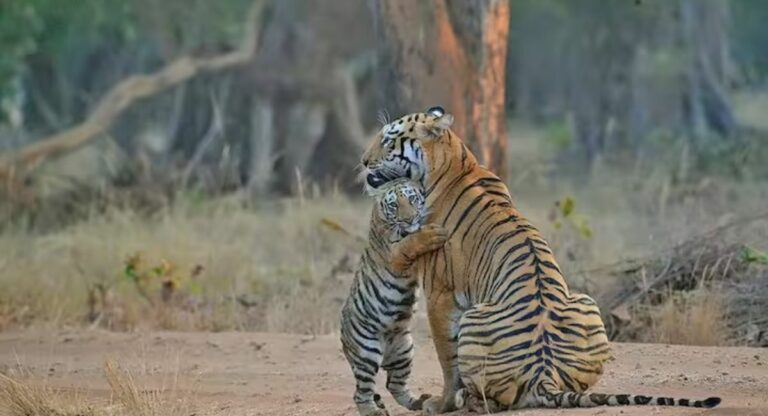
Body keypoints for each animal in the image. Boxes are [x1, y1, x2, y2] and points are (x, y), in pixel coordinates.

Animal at [342, 178, 450, 416]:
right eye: (394, 205)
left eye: (412, 199)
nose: (408, 219)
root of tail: (344, 343)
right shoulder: (395, 253)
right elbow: (412, 241)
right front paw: (431, 234)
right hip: (367, 352)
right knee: (361, 393)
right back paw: (374, 411)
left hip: (404, 351)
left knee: (394, 385)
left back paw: (418, 401)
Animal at [360, 107, 720, 412]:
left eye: (388, 140)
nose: (363, 161)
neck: (456, 161)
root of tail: (544, 376)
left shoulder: (439, 293)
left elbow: (447, 359)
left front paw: (442, 403)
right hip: (586, 304)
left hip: (475, 316)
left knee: (491, 400)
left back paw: (468, 403)